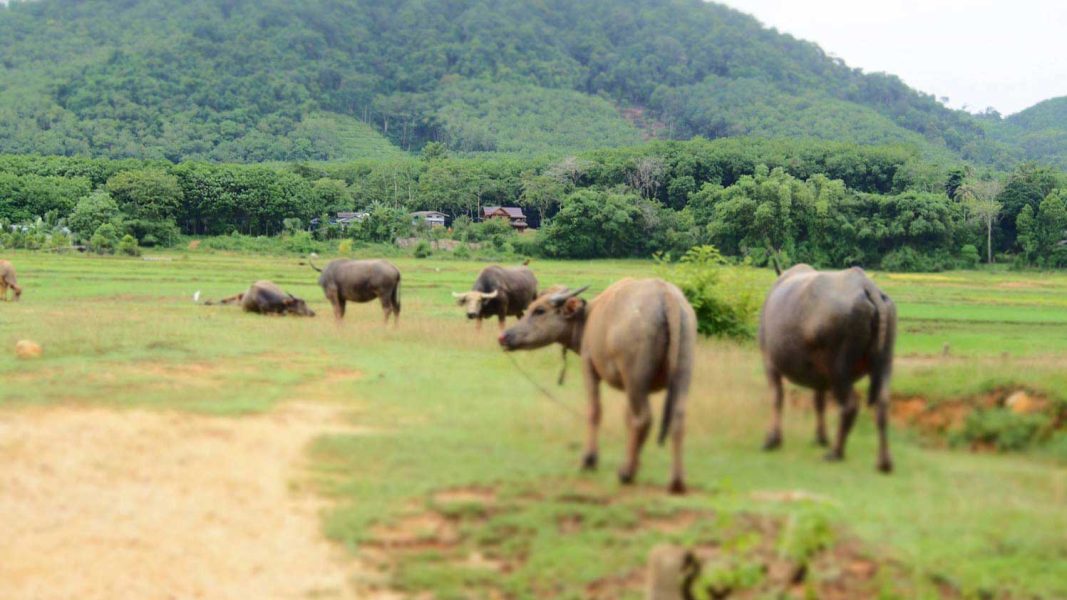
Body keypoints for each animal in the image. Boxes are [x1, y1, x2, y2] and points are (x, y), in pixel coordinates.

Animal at [499, 279, 697, 494]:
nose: (504, 336)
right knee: (677, 418)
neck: (587, 319)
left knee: (643, 418)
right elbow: (626, 418)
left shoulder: (589, 367)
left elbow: (595, 411)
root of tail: (666, 295)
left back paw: (627, 473)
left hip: (635, 378)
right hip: (682, 371)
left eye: (539, 310)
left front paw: (589, 460)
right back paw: (676, 480)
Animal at [759, 264, 896, 473]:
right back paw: (884, 462)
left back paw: (835, 453)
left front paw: (772, 440)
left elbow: (777, 398)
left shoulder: (770, 362)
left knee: (849, 405)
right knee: (882, 404)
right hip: (884, 362)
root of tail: (867, 286)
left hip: (839, 369)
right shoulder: (820, 378)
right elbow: (819, 402)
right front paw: (821, 437)